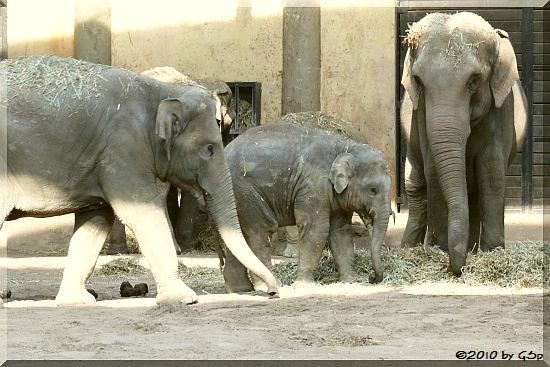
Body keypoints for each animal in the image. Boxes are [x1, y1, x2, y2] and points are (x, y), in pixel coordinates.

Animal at [2, 56, 280, 306]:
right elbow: (142, 213)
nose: (272, 292)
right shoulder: (123, 148)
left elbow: (95, 221)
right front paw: (185, 299)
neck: (162, 92)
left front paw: (77, 301)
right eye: (209, 149)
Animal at [220, 123, 392, 294]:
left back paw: (240, 289)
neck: (345, 147)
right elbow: (316, 230)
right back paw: (269, 287)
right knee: (260, 232)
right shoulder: (312, 187)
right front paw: (304, 285)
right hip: (245, 192)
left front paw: (351, 281)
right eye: (373, 190)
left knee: (239, 234)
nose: (371, 277)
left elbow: (340, 231)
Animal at [402, 12, 532, 276]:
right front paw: (439, 248)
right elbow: (434, 170)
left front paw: (492, 251)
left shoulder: (501, 108)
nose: (459, 269)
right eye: (419, 81)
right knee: (416, 183)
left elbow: (491, 171)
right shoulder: (422, 116)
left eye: (474, 81)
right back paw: (410, 248)